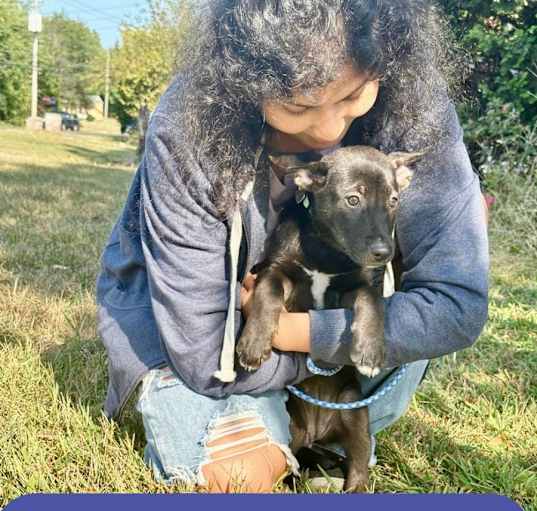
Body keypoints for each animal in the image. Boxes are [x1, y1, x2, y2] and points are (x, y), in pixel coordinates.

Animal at [238, 147, 418, 492]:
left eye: (393, 200)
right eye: (352, 200)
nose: (384, 252)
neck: (326, 249)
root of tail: (317, 431)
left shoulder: (354, 284)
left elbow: (371, 299)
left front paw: (370, 350)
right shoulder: (278, 271)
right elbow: (267, 291)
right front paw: (253, 343)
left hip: (354, 412)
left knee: (358, 467)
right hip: (291, 427)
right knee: (291, 465)